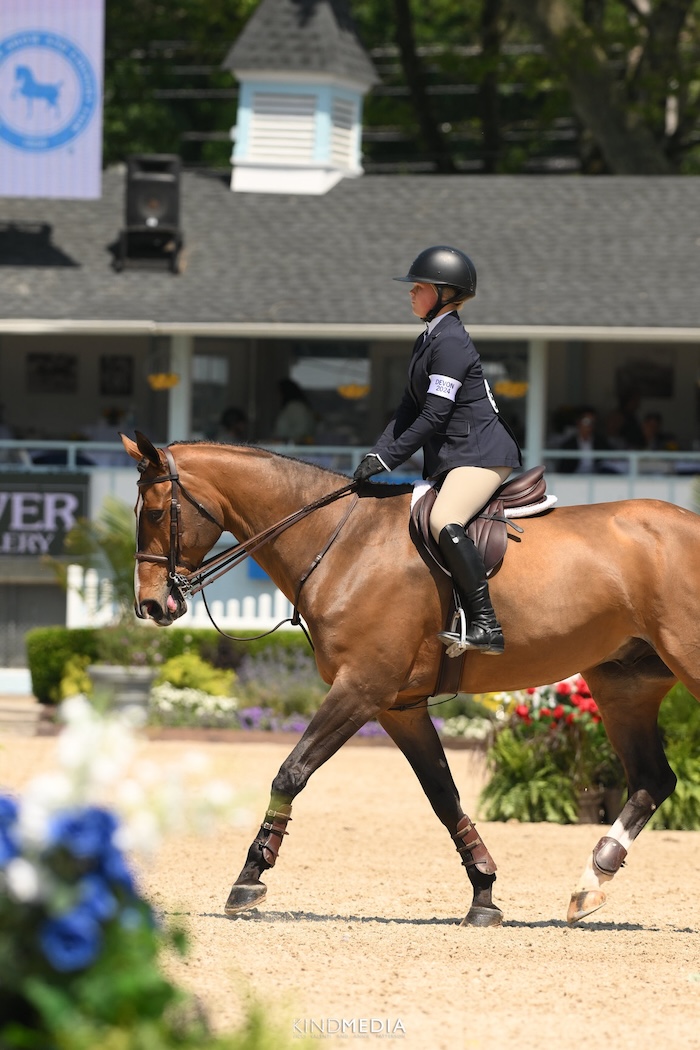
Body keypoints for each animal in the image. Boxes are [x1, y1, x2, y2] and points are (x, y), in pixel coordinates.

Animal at [121, 431, 698, 926]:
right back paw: (590, 883)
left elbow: (291, 773)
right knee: (653, 779)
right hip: (623, 683)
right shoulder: (398, 706)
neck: (339, 542)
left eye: (156, 512)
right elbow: (443, 795)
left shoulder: (360, 688)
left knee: (654, 777)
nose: (151, 605)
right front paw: (484, 894)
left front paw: (248, 879)